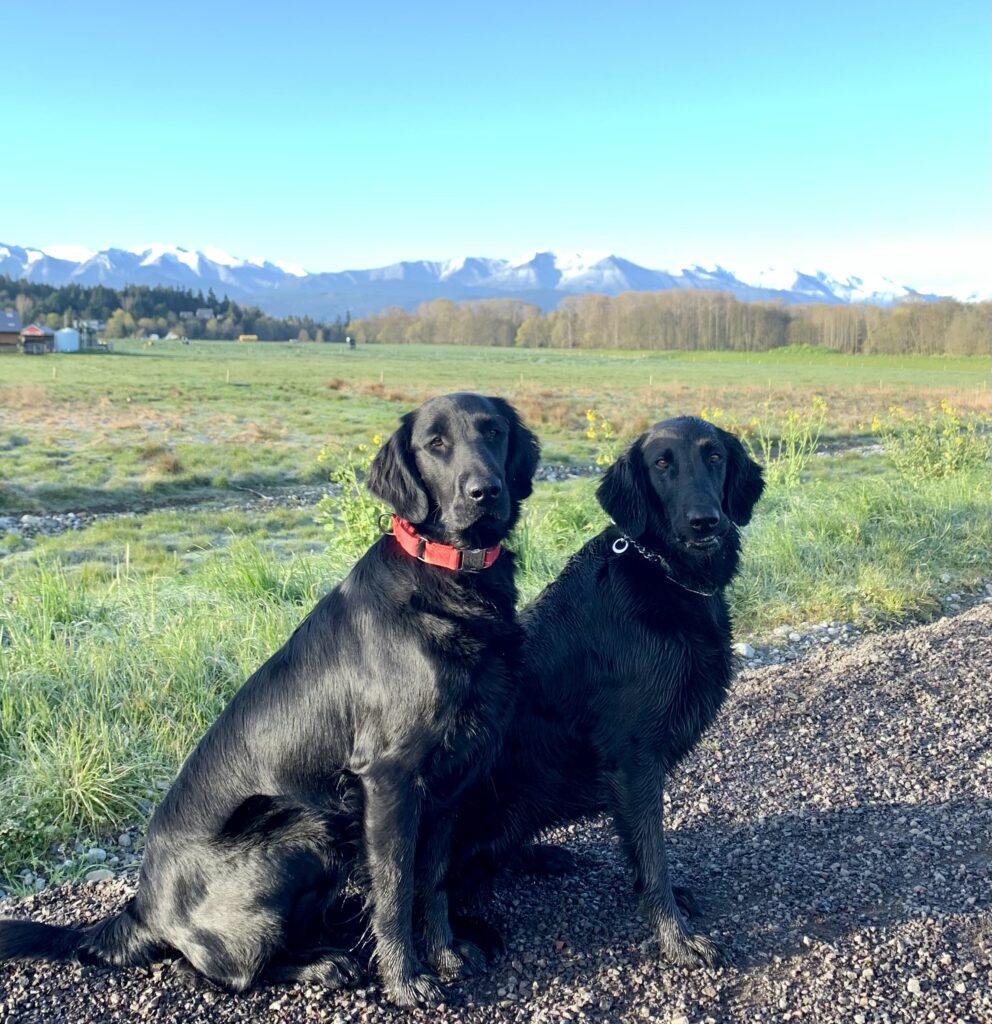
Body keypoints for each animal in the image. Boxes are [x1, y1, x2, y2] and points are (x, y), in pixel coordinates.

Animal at [0, 391, 536, 1007]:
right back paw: (322, 965)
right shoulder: (390, 778)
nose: (484, 491)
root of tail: (142, 908)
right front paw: (406, 983)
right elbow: (396, 888)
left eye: (492, 432)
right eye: (436, 444)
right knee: (216, 971)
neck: (450, 578)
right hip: (305, 828)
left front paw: (445, 954)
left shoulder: (451, 782)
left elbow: (434, 880)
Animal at [452, 413, 761, 966]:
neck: (666, 573)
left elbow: (641, 851)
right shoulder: (633, 758)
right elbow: (653, 852)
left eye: (715, 456)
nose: (705, 521)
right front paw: (676, 938)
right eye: (662, 464)